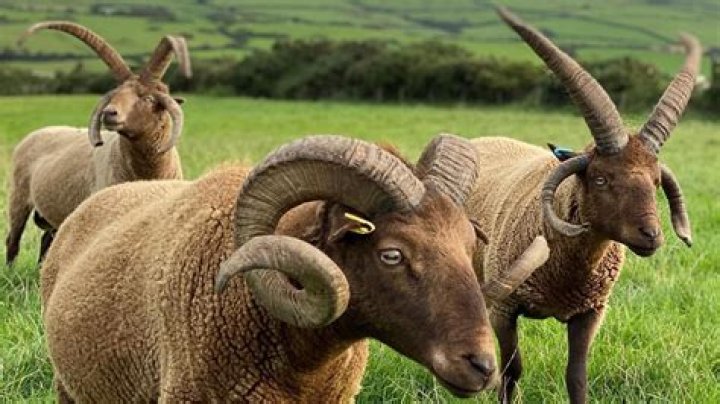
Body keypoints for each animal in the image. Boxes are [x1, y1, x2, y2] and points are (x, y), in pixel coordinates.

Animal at [5, 21, 191, 266]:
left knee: (47, 241)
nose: (109, 113)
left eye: (149, 98)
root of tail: (35, 133)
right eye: (115, 94)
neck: (147, 170)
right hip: (18, 197)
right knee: (12, 241)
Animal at [460, 8, 700, 404]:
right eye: (601, 179)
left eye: (655, 182)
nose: (651, 236)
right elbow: (512, 371)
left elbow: (577, 376)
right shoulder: (504, 309)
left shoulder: (590, 312)